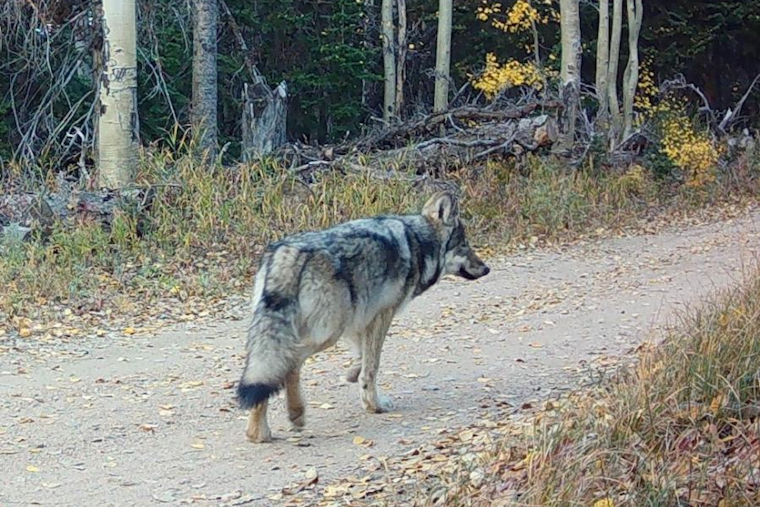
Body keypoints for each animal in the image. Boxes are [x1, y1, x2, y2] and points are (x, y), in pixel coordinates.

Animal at [236, 191, 490, 442]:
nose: (487, 269)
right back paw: (294, 415)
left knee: (267, 374)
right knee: (289, 364)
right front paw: (374, 405)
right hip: (328, 333)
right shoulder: (381, 315)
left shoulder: (360, 320)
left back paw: (258, 432)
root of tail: (287, 252)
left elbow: (362, 357)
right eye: (464, 245)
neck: (418, 242)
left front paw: (352, 375)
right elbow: (372, 366)